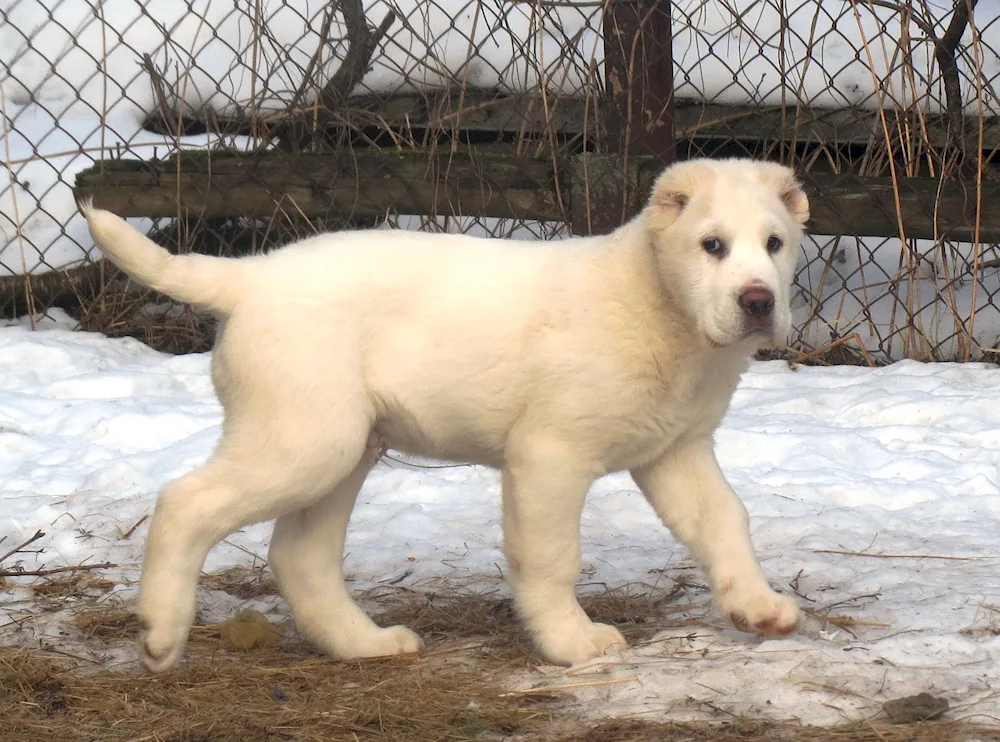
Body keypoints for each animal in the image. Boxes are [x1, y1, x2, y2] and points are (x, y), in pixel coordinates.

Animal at [80, 155, 812, 676]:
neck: (661, 309)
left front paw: (756, 607)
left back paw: (365, 645)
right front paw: (570, 642)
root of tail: (251, 277)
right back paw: (160, 634)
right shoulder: (549, 456)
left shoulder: (676, 451)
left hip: (344, 446)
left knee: (300, 555)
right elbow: (552, 558)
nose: (757, 301)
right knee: (187, 501)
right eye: (712, 246)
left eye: (775, 244)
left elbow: (724, 522)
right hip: (305, 439)